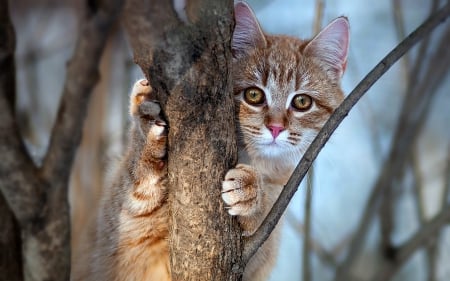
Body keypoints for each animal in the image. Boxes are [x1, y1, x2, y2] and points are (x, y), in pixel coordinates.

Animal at [72, 1, 350, 278]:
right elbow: (136, 189)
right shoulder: (118, 237)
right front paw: (147, 132)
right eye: (254, 95)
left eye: (302, 102)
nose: (275, 128)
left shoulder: (261, 251)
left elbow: (266, 221)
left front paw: (253, 194)